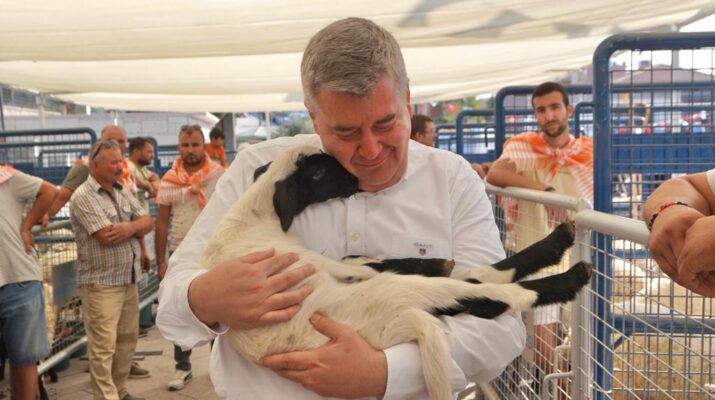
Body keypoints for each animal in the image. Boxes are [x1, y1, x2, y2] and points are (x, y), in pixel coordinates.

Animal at [201, 146, 592, 400]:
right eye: (319, 173)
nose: (356, 177)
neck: (252, 217)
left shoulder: (340, 265)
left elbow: (368, 260)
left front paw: (434, 261)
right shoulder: (320, 263)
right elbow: (372, 264)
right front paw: (436, 262)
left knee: (479, 278)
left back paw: (558, 241)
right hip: (388, 297)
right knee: (490, 296)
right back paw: (571, 275)